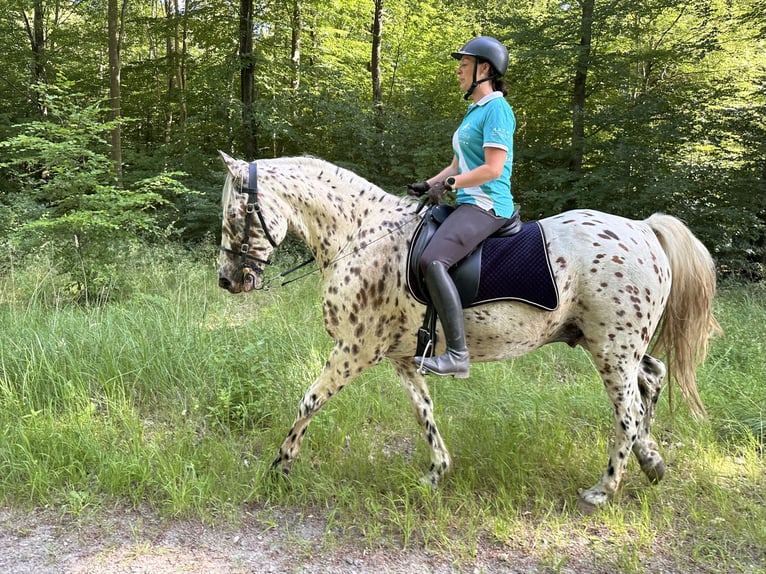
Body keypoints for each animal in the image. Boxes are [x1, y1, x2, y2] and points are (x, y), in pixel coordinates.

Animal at [216, 152, 720, 509]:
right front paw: (436, 472)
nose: (227, 280)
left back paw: (604, 489)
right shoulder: (401, 356)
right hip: (613, 345)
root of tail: (644, 229)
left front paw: (281, 464)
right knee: (651, 379)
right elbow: (423, 410)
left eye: (236, 215)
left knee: (629, 411)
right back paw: (651, 460)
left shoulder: (355, 349)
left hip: (612, 349)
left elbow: (309, 400)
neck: (362, 236)